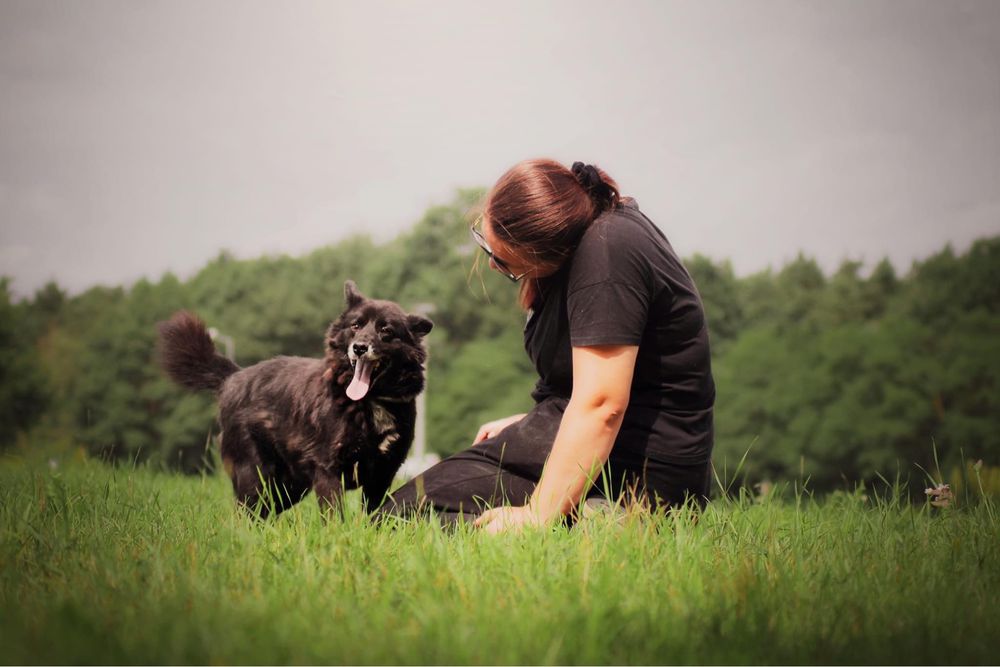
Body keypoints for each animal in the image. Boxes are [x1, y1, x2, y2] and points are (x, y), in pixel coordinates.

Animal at [158, 282, 432, 516]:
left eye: (386, 331)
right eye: (356, 325)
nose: (360, 347)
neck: (369, 401)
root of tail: (233, 376)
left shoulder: (383, 473)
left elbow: (373, 514)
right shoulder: (328, 470)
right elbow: (335, 516)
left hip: (288, 486)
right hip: (254, 474)